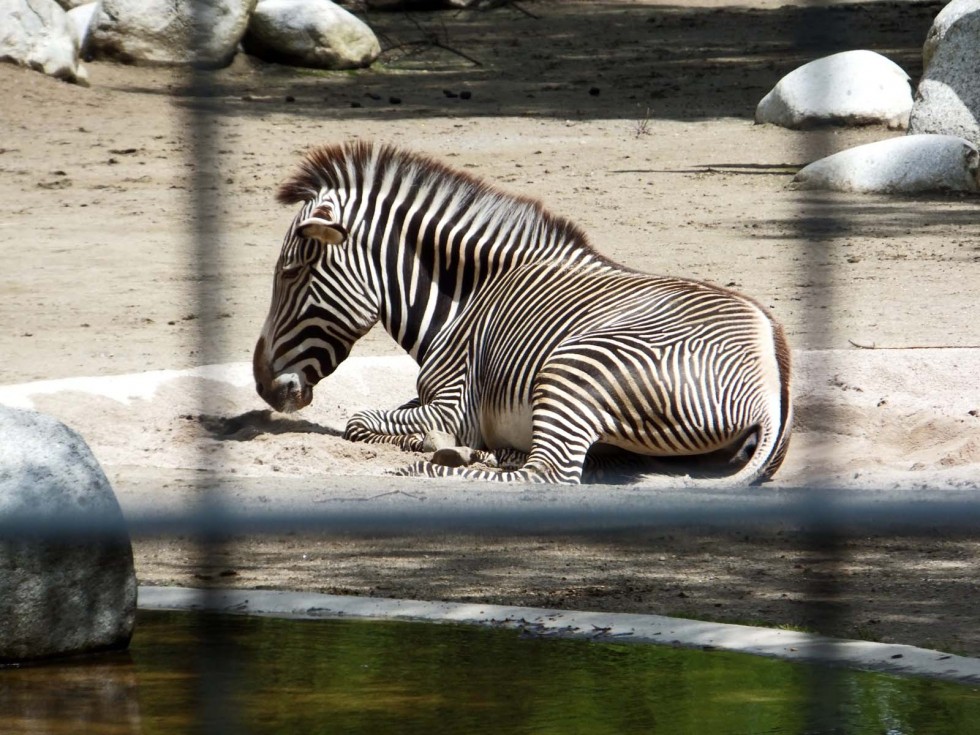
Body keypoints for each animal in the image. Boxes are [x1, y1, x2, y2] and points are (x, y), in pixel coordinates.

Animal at [251, 142, 788, 488]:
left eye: (291, 272)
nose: (262, 386)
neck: (465, 300)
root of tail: (769, 383)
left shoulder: (454, 404)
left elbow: (358, 420)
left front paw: (433, 443)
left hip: (575, 367)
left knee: (547, 473)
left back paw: (431, 465)